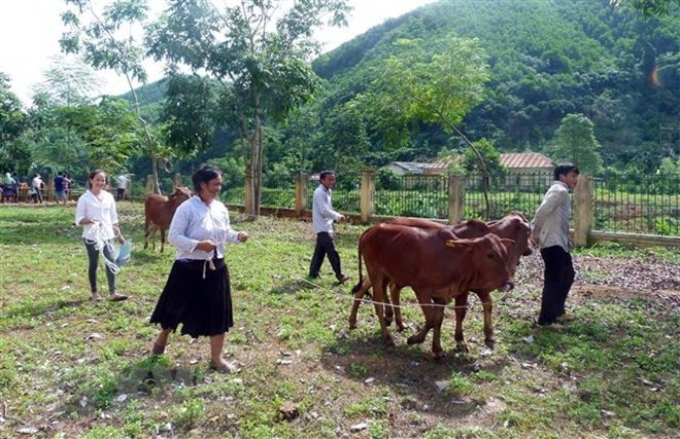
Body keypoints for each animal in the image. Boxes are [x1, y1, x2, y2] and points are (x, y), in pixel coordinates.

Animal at [348, 211, 532, 352]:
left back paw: (373, 321)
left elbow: (443, 318)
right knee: (377, 298)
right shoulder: (439, 290)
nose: (530, 250)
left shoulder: (452, 293)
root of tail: (372, 229)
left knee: (372, 289)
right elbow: (447, 316)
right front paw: (457, 340)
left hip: (384, 274)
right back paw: (386, 332)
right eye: (490, 255)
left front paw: (485, 335)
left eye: (503, 252)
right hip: (377, 272)